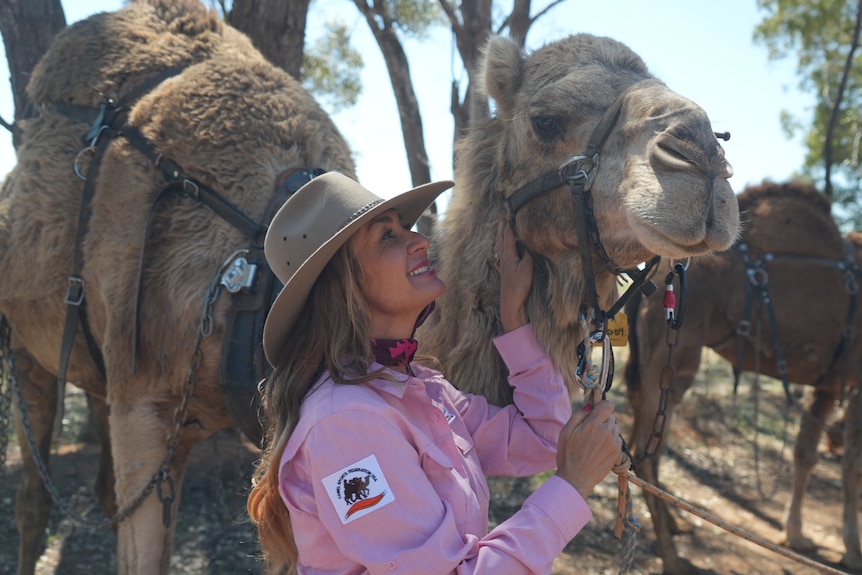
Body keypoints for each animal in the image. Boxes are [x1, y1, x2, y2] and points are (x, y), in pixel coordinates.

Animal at [624, 181, 862, 574]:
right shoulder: (853, 379)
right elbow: (851, 463)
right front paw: (852, 550)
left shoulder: (828, 384)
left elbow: (805, 453)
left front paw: (796, 536)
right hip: (675, 357)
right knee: (644, 447)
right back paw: (671, 556)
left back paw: (677, 525)